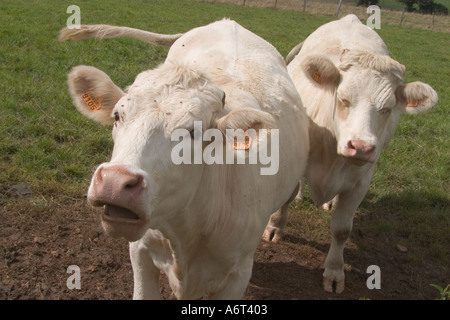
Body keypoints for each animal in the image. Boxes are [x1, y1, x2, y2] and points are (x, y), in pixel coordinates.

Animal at [59, 20, 310, 300]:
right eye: (117, 116)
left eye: (193, 132)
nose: (114, 183)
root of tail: (228, 22)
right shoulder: (140, 250)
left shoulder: (238, 274)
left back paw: (276, 227)